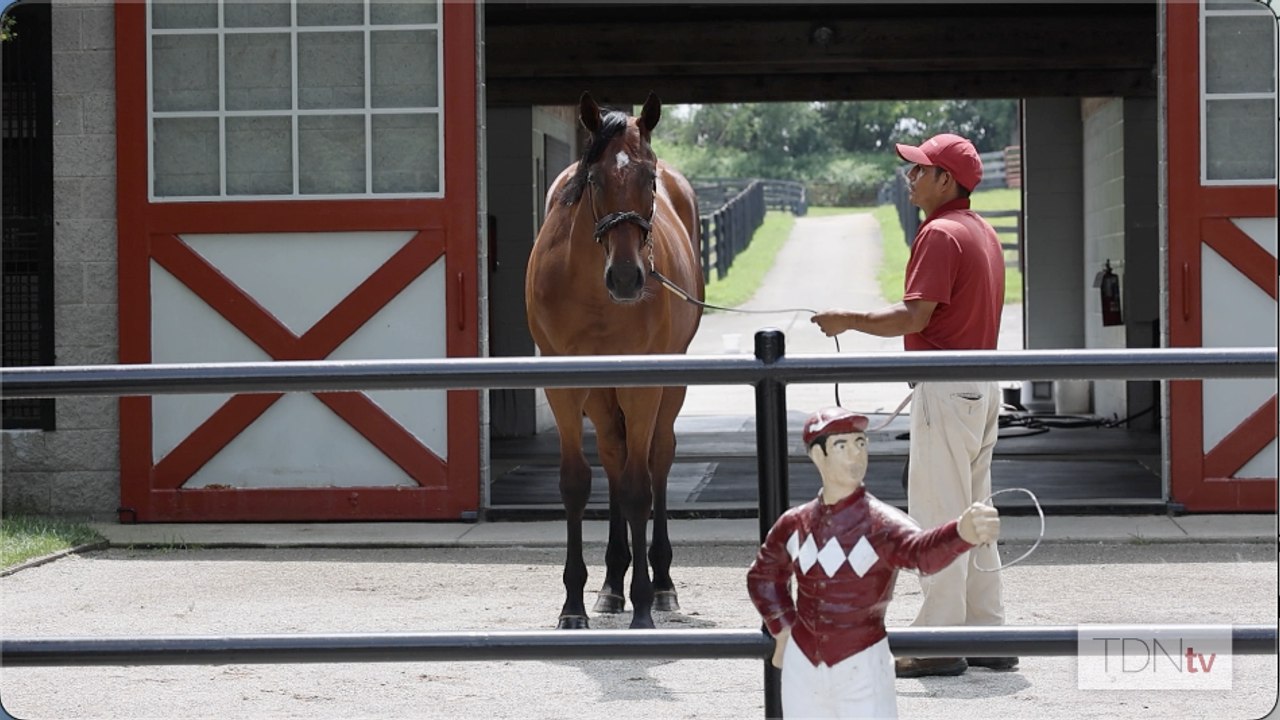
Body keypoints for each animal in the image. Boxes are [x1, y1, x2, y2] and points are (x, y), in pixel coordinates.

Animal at [525, 92, 705, 630]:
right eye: (596, 179)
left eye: (649, 178)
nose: (627, 278)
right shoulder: (565, 387)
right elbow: (577, 482)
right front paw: (574, 604)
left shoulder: (642, 386)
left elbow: (638, 487)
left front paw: (644, 603)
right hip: (602, 396)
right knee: (613, 456)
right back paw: (610, 583)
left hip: (667, 386)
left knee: (656, 460)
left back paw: (661, 584)